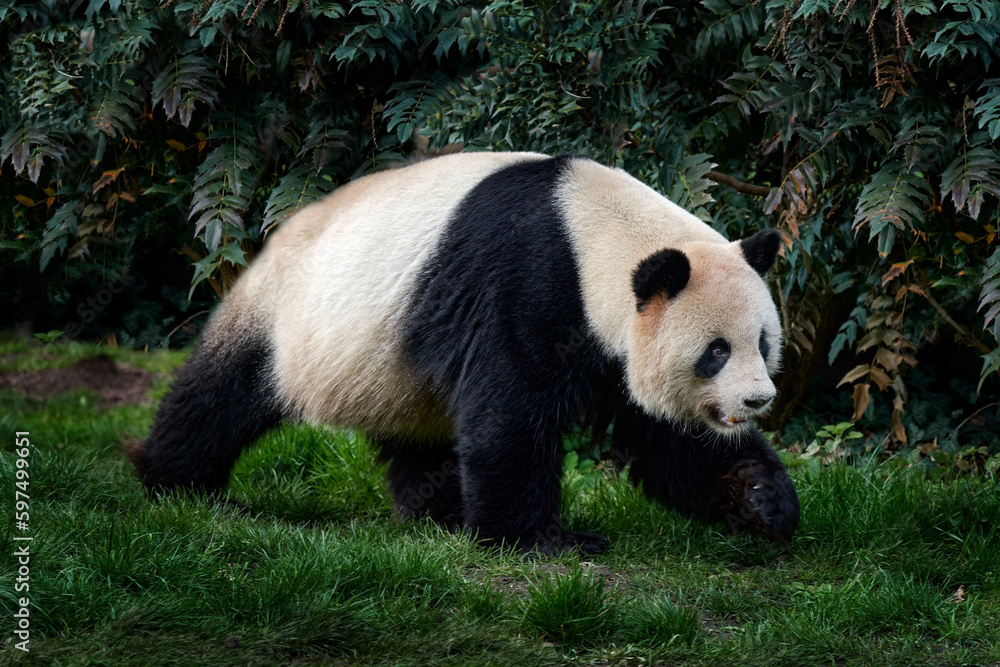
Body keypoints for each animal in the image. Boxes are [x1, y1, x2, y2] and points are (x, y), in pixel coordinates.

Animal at [129, 152, 799, 554]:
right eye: (715, 351)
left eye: (763, 343)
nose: (757, 399)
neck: (596, 232)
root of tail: (273, 237)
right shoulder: (531, 282)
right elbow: (512, 413)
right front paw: (543, 540)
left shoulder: (612, 338)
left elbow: (668, 438)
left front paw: (763, 502)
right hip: (292, 317)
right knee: (221, 394)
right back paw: (177, 484)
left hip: (387, 371)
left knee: (419, 440)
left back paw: (440, 513)